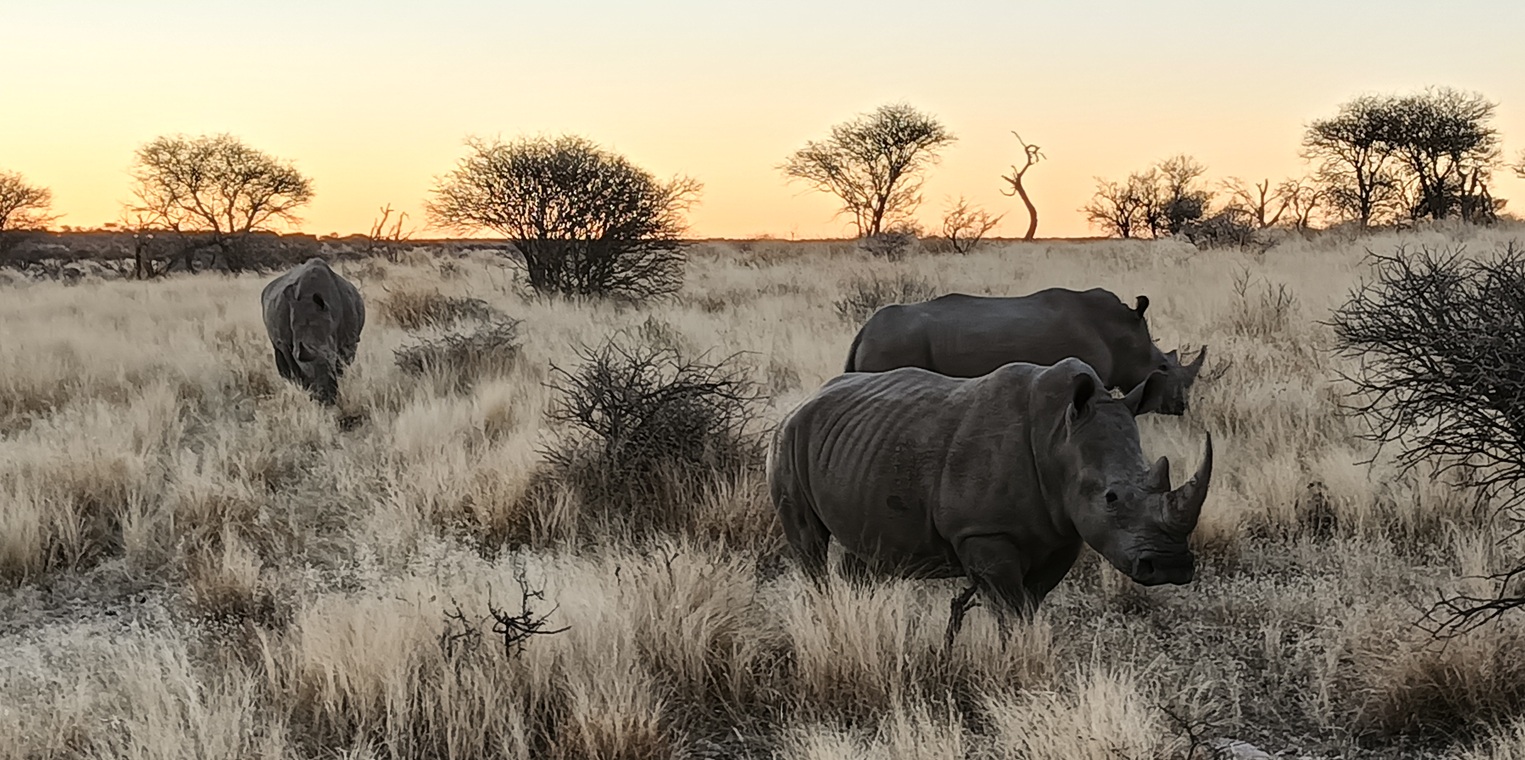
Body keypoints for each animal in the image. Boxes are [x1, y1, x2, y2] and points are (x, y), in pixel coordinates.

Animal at [260, 258, 366, 405]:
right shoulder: (286, 343)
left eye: (332, 355)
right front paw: (307, 391)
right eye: (298, 355)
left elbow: (341, 368)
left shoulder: (349, 341)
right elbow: (295, 369)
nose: (325, 398)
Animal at [768, 358, 1213, 642]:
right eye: (1111, 498)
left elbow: (1030, 605)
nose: (1170, 566)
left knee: (863, 550)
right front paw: (1011, 660)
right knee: (809, 543)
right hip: (789, 438)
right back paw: (825, 613)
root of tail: (803, 401)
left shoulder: (1063, 533)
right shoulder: (983, 534)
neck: (1060, 439)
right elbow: (1010, 609)